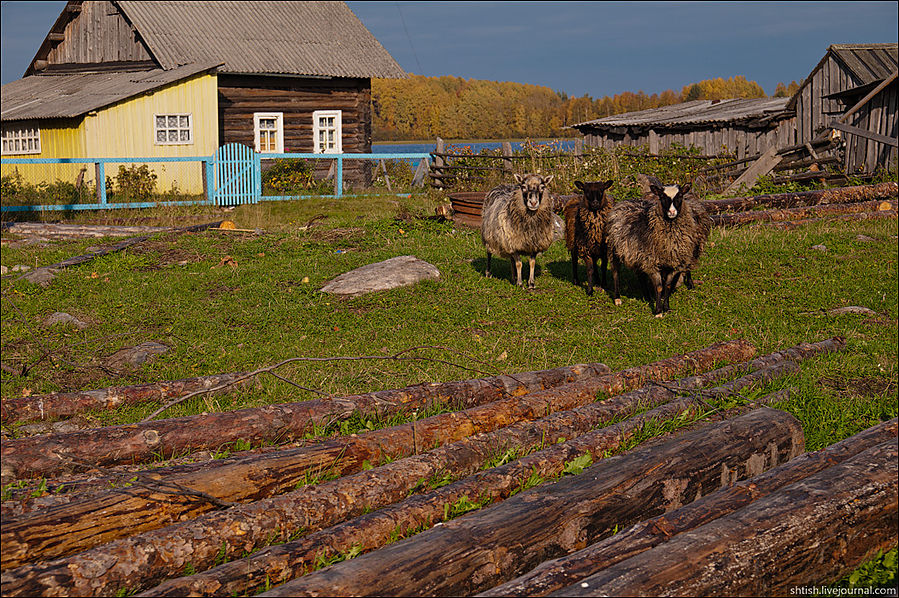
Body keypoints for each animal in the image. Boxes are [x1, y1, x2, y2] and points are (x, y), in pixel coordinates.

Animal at [608, 175, 712, 318]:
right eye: (662, 197)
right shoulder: (652, 263)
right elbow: (659, 287)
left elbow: (667, 286)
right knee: (615, 273)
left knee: (640, 276)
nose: (672, 212)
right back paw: (617, 298)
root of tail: (623, 202)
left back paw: (647, 296)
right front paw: (658, 311)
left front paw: (666, 307)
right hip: (614, 251)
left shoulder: (673, 263)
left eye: (680, 196)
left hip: (637, 255)